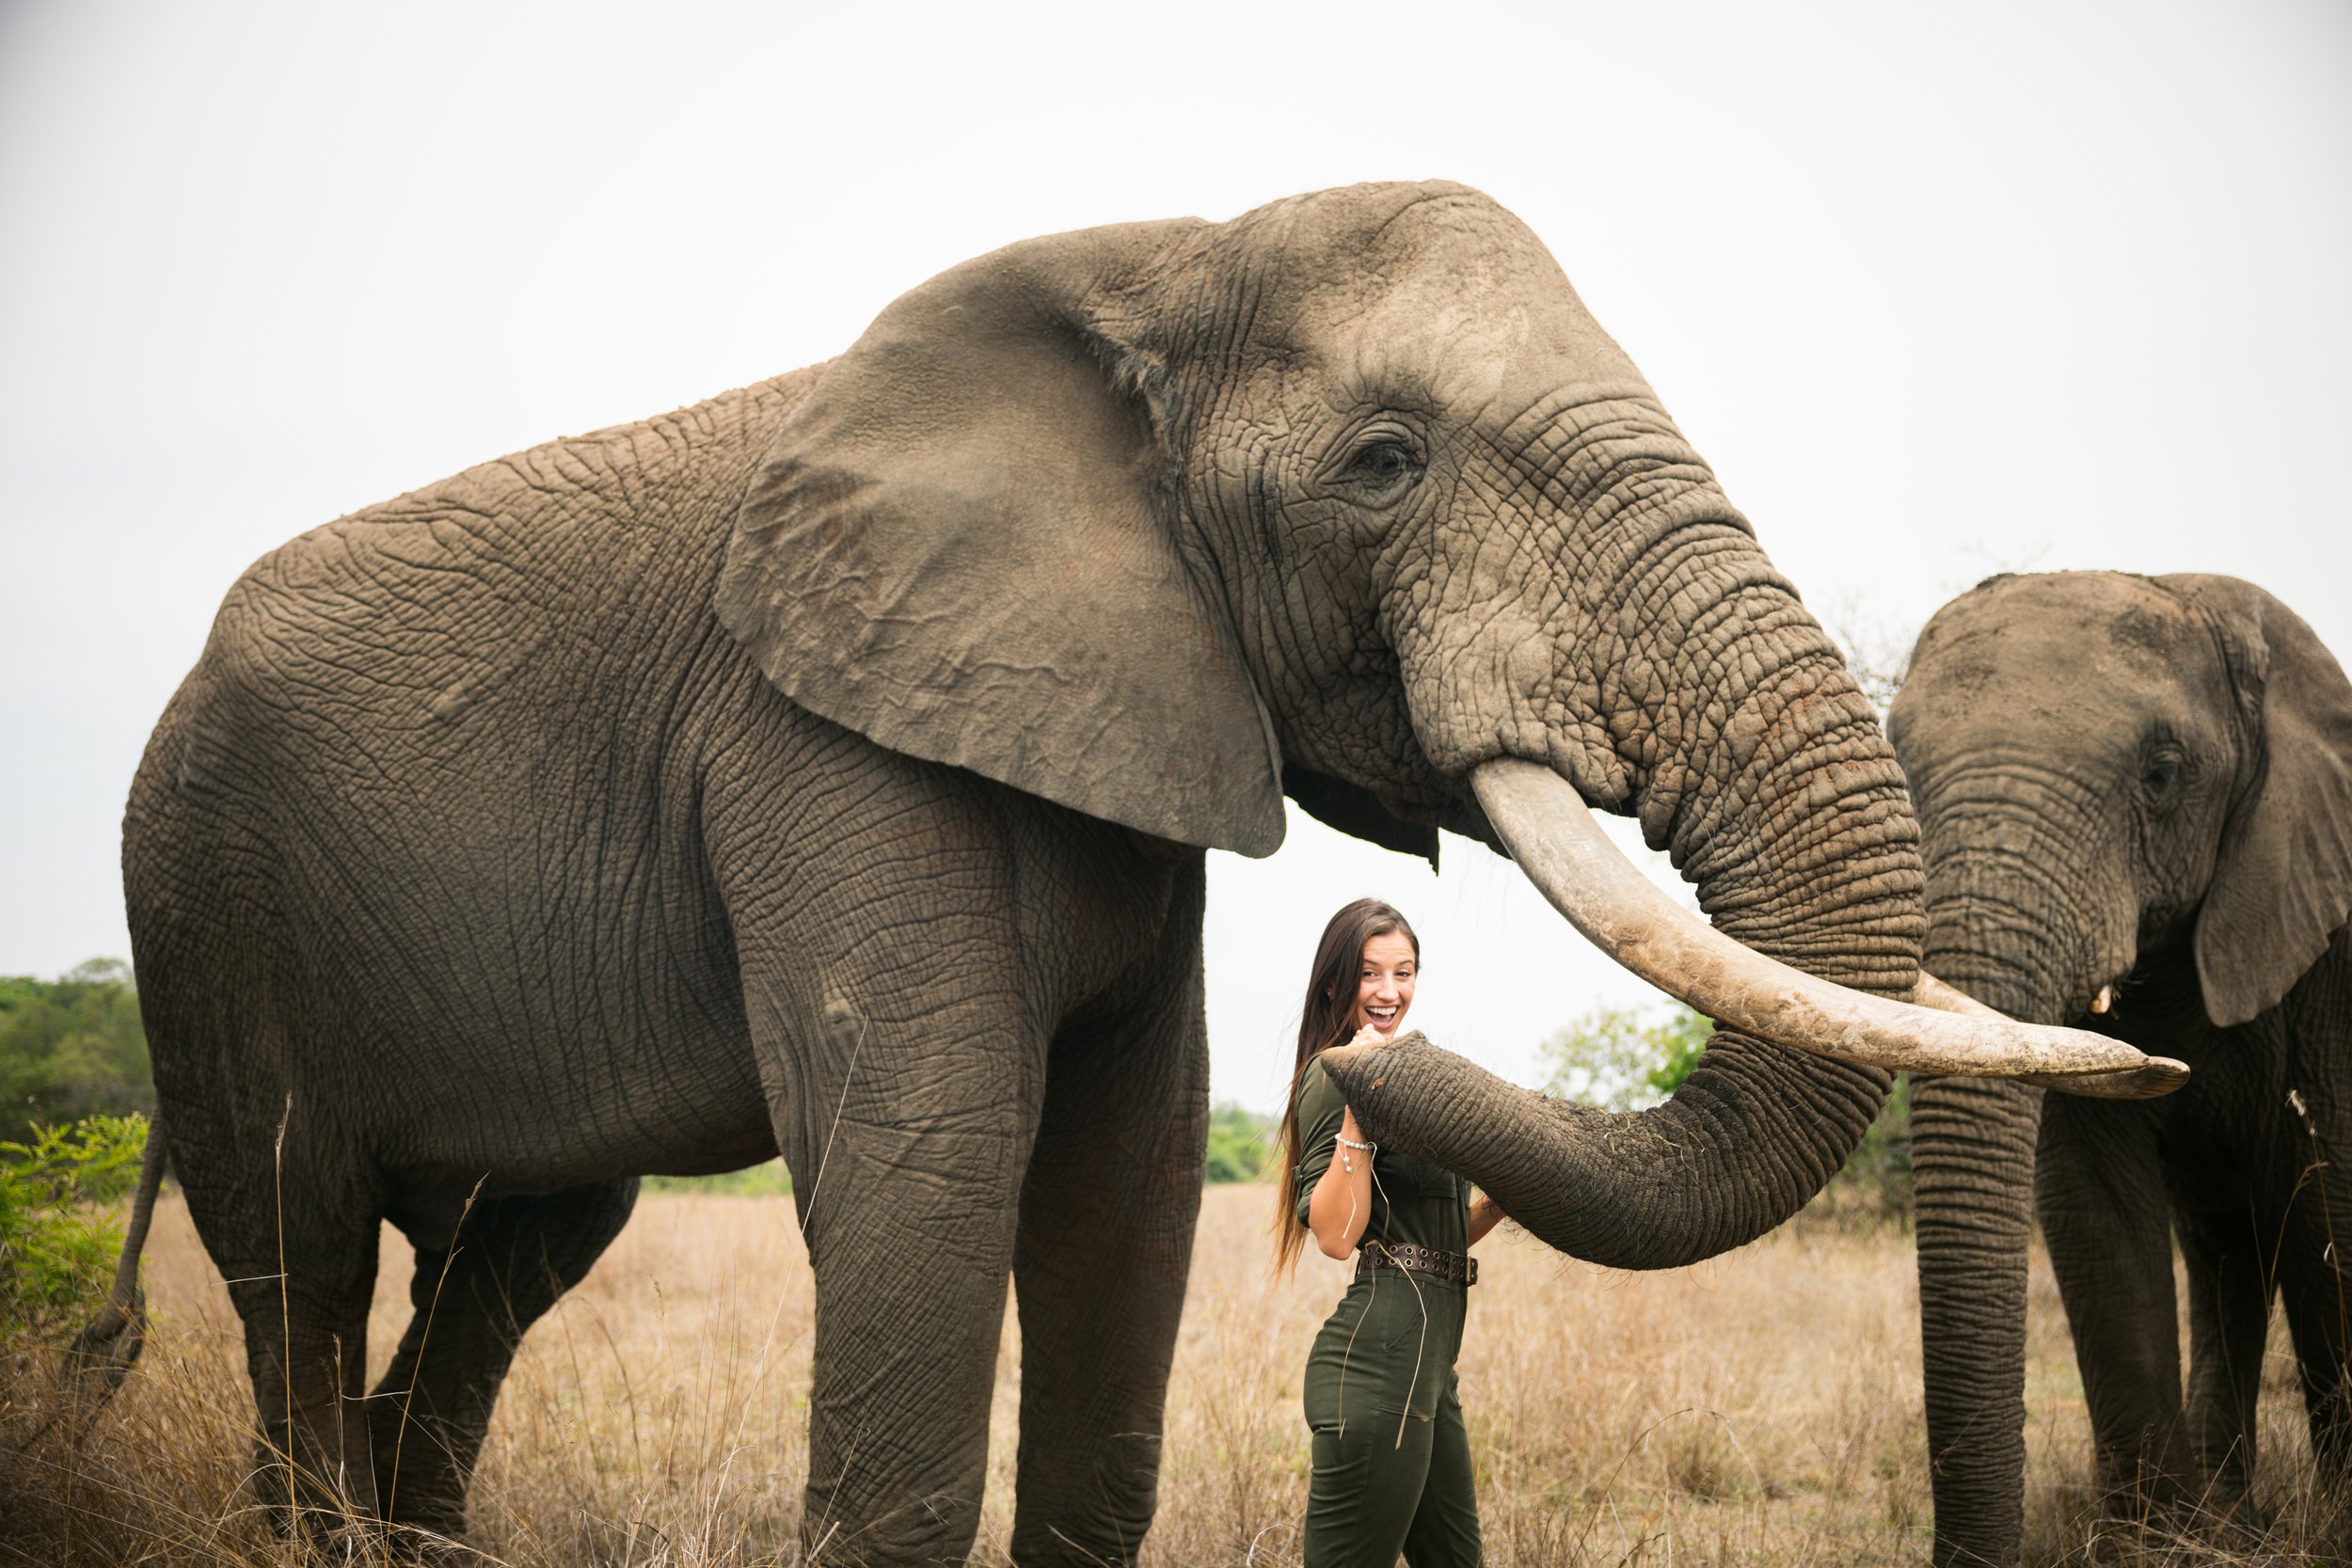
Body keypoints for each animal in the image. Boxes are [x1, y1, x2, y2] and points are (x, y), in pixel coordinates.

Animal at [98, 181, 2153, 1565]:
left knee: (509, 1256)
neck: (1156, 257)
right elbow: (934, 1154)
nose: (1370, 1034)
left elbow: (1127, 1171)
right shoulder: (815, 736)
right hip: (199, 888)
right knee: (295, 1244)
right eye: (1382, 463)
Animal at [1893, 571, 2352, 1564]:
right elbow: (2095, 1203)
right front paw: (2162, 1545)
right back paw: (2233, 1521)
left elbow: (2341, 1182)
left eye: (2163, 773)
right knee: (2228, 1249)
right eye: (1899, 761)